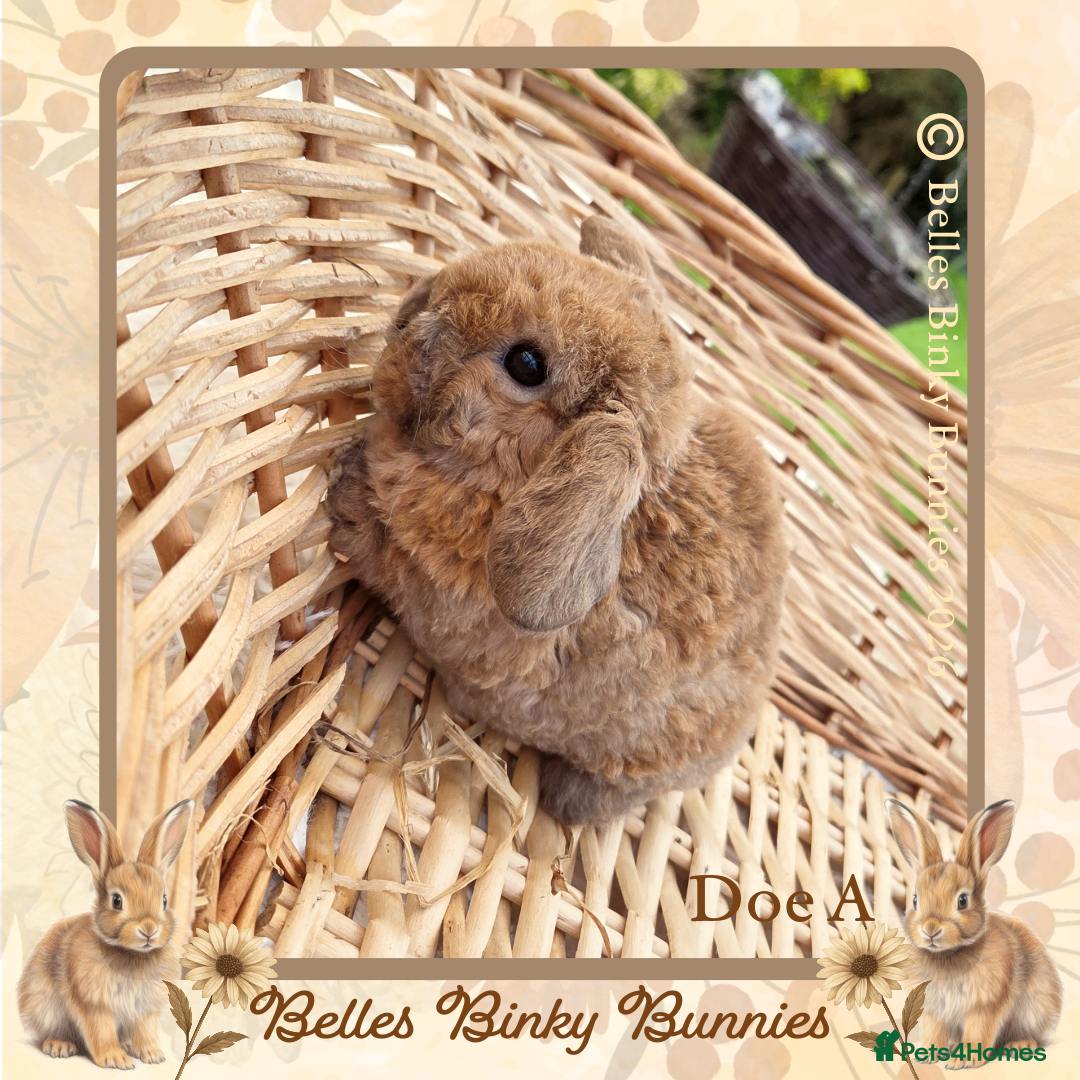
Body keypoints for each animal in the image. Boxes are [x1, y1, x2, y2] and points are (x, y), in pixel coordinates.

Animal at [17, 799, 195, 1069]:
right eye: (117, 901)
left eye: (164, 900)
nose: (149, 930)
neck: (131, 954)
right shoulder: (95, 1005)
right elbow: (101, 1031)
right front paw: (116, 1060)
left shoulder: (145, 1010)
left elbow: (145, 1031)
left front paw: (153, 1055)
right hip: (46, 1008)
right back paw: (59, 1046)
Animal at [327, 215, 787, 825]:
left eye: (526, 364)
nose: (407, 319)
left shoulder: (446, 615)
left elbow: (389, 563)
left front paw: (345, 494)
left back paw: (566, 802)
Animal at [885, 798, 1063, 1066]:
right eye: (915, 900)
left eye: (962, 901)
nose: (930, 930)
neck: (949, 954)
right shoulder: (935, 1010)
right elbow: (934, 1031)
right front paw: (926, 1056)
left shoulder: (984, 1005)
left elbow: (978, 1031)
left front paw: (963, 1061)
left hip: (1034, 1009)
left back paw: (1019, 1045)